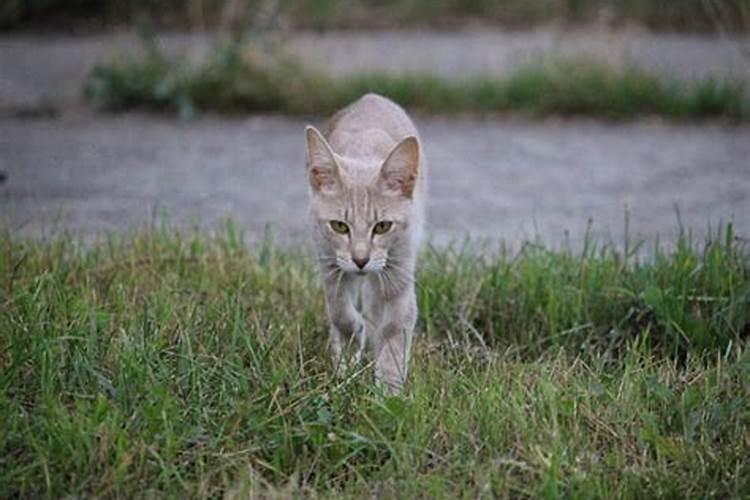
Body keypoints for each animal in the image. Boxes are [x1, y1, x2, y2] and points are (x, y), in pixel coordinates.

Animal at [304, 92, 426, 392]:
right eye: (339, 226)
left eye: (382, 226)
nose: (361, 260)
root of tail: (371, 97)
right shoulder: (329, 264)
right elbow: (340, 313)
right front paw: (349, 351)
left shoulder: (399, 272)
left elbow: (395, 330)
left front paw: (389, 391)